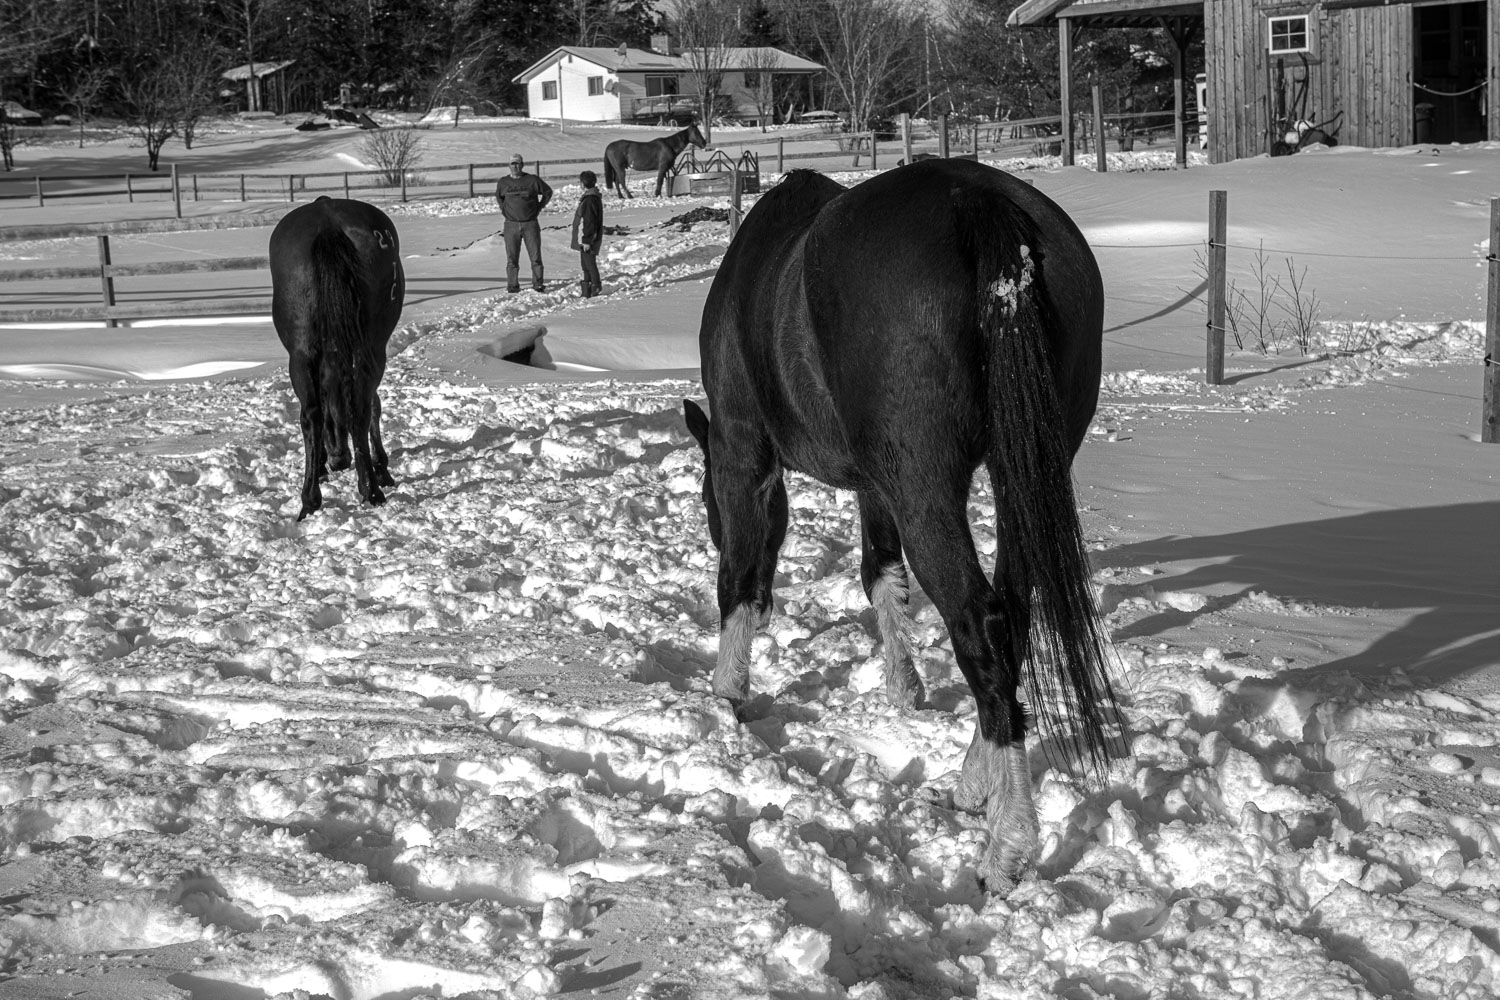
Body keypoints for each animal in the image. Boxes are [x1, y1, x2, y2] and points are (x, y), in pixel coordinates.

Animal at [265, 197, 402, 524]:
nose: (340, 459)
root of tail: (326, 219)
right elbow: (372, 407)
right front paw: (381, 466)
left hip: (302, 356)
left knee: (311, 415)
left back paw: (311, 499)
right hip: (369, 348)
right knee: (357, 410)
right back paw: (370, 488)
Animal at [687, 160, 1122, 893]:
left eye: (706, 503)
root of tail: (975, 199)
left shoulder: (743, 451)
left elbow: (739, 580)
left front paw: (726, 698)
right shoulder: (876, 483)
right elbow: (880, 575)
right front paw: (904, 686)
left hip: (928, 491)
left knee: (981, 623)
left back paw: (1007, 847)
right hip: (1017, 471)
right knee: (1011, 616)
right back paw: (976, 787)